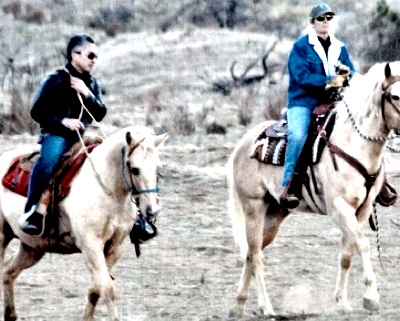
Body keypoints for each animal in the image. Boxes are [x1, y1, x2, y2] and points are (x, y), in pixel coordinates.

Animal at [0, 125, 167, 320]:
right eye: (134, 169)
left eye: (158, 169)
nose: (152, 210)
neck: (108, 190)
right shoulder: (90, 245)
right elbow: (108, 289)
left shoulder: (115, 248)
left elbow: (95, 289)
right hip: (3, 237)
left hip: (32, 247)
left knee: (8, 272)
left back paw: (11, 314)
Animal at [227, 60, 400, 316]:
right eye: (395, 96)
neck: (354, 143)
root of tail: (243, 144)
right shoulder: (339, 207)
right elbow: (364, 244)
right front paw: (371, 297)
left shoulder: (363, 208)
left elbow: (348, 253)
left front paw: (342, 301)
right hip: (253, 208)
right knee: (256, 255)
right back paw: (266, 307)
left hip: (276, 213)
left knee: (250, 252)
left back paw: (238, 305)